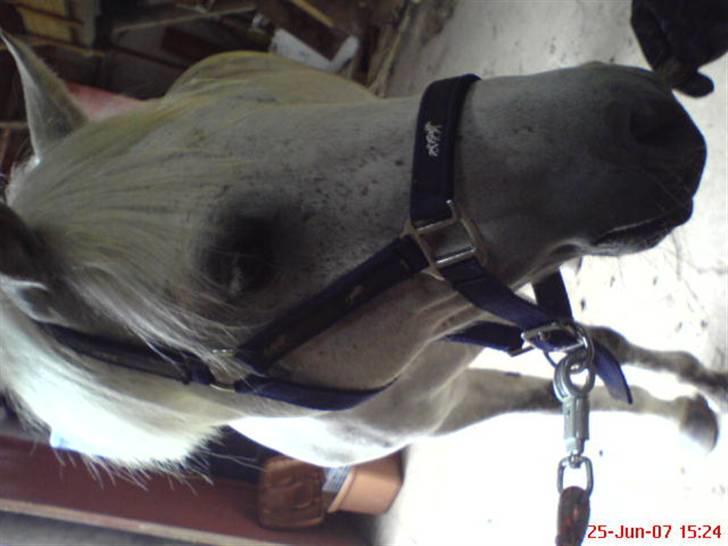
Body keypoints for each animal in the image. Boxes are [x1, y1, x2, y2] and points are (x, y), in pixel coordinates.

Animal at [0, 30, 723, 474]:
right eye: (243, 263)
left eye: (257, 107)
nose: (645, 117)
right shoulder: (456, 389)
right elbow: (565, 391)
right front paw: (690, 411)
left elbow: (603, 349)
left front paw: (699, 385)